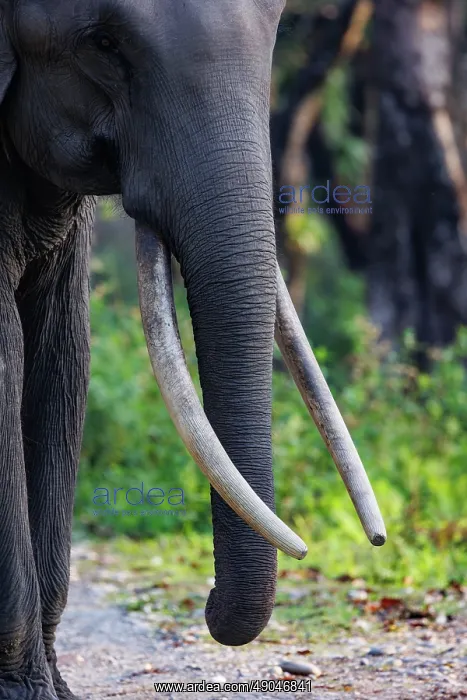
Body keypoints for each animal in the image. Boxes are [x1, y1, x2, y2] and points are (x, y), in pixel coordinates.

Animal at [0, 0, 386, 698]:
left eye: (280, 22)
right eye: (103, 43)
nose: (205, 602)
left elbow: (62, 352)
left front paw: (54, 691)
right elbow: (8, 356)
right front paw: (24, 692)